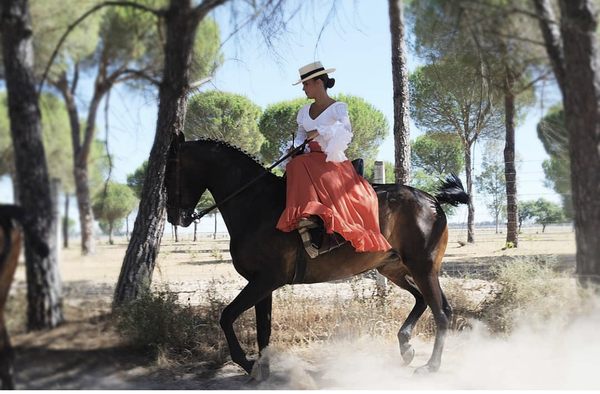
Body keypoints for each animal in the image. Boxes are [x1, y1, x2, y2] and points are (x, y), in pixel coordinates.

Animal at [164, 134, 468, 378]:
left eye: (170, 171)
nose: (174, 217)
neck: (256, 204)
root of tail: (432, 201)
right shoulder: (262, 285)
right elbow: (263, 330)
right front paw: (264, 369)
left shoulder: (266, 280)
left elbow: (226, 316)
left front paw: (249, 365)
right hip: (393, 268)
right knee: (423, 300)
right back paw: (406, 347)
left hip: (422, 268)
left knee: (441, 312)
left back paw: (431, 366)